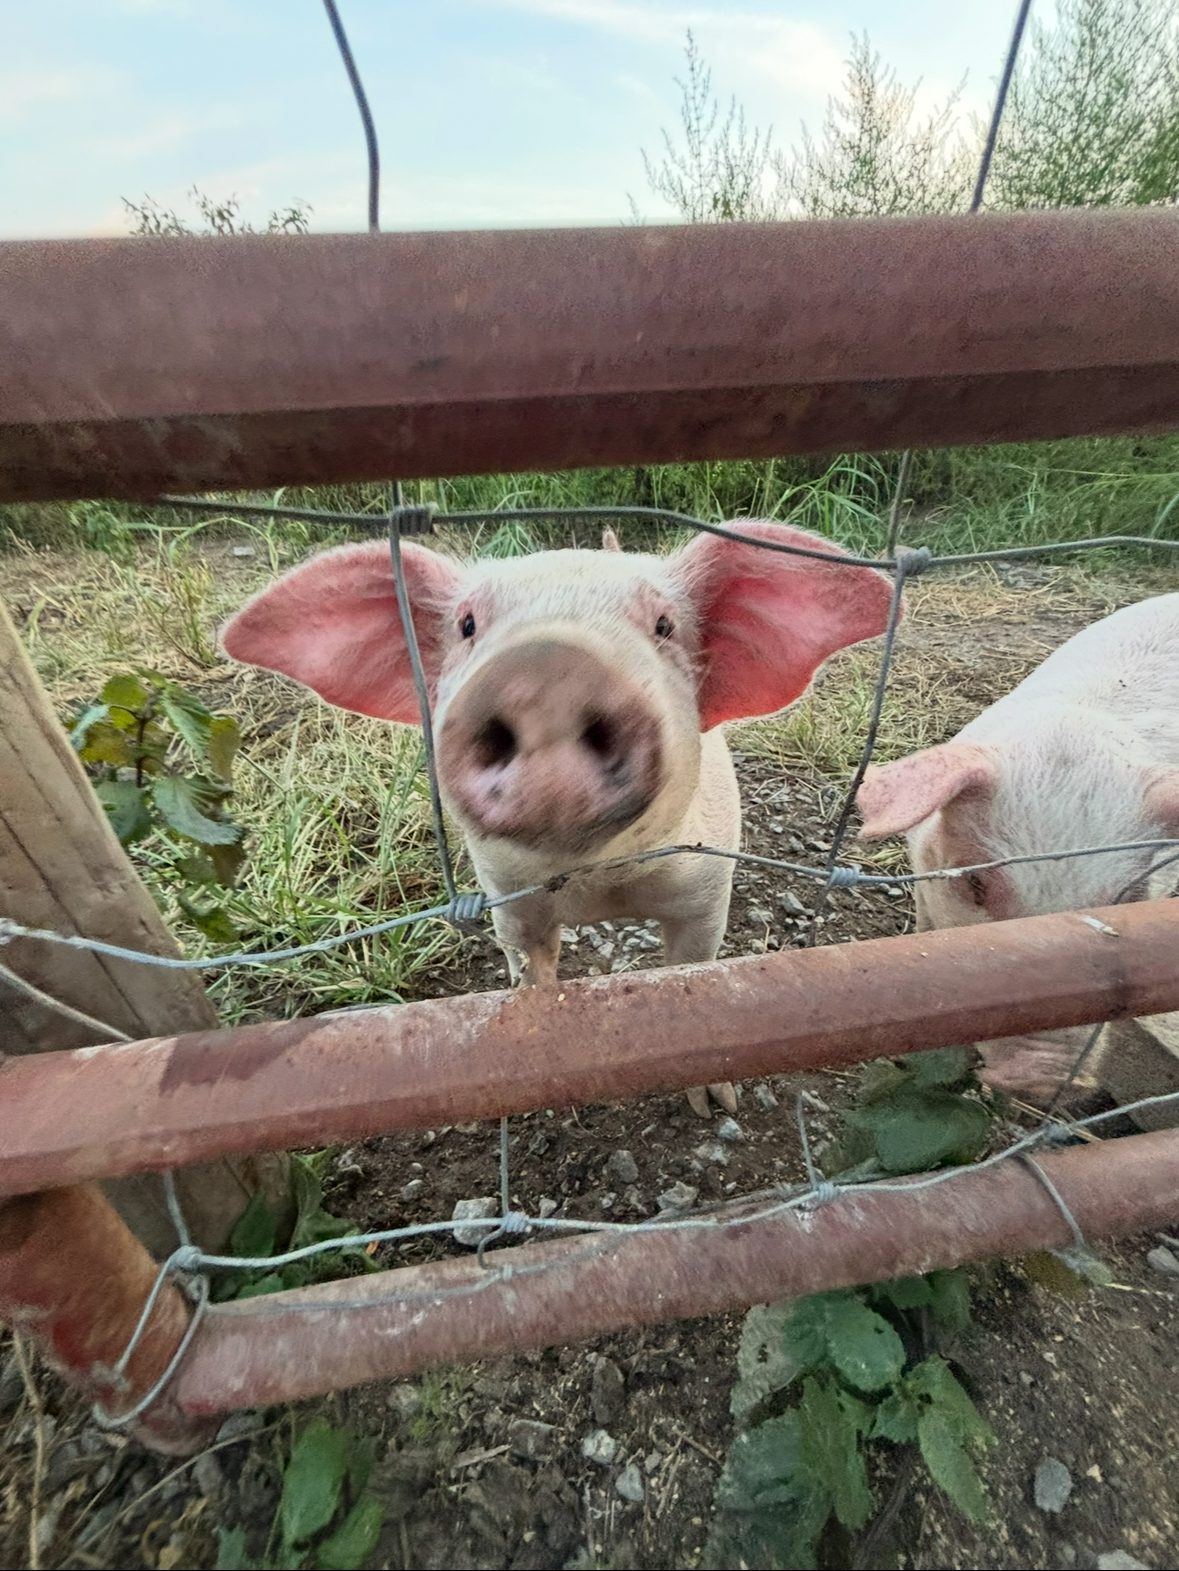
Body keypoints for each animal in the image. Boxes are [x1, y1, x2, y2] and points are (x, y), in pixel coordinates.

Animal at [222, 520, 895, 1117]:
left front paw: (715, 1105)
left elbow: (695, 975)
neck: (601, 882)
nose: (546, 673)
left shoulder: (707, 886)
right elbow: (531, 967)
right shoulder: (505, 894)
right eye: (468, 625)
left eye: (663, 625)